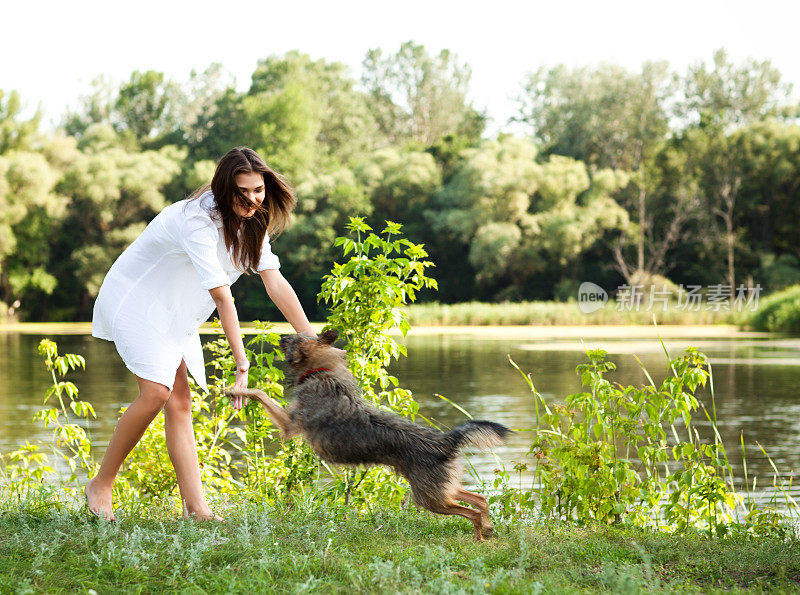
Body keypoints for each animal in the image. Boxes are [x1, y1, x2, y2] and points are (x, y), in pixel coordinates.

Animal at [228, 330, 510, 544]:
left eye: (292, 340)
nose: (282, 336)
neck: (321, 372)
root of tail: (445, 441)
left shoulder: (288, 424)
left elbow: (260, 393)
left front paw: (234, 389)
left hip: (430, 498)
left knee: (471, 512)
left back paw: (479, 537)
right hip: (441, 489)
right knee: (480, 499)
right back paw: (488, 529)